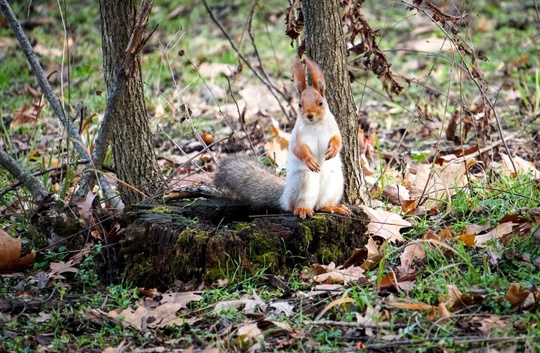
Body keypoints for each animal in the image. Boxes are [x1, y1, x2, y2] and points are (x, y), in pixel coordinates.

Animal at [215, 56, 350, 219]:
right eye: (300, 104)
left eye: (321, 102)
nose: (309, 115)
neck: (315, 125)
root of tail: (284, 198)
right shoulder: (297, 136)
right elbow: (298, 149)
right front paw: (310, 161)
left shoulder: (333, 128)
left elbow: (339, 140)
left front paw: (333, 150)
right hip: (304, 183)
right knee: (297, 205)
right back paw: (302, 209)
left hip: (333, 184)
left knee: (321, 205)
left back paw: (332, 207)